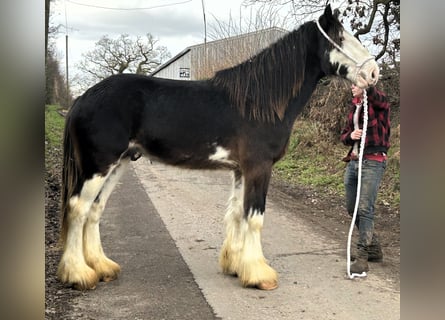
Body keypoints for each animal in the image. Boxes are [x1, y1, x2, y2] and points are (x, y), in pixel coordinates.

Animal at [58, 5, 378, 290]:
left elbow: (236, 214)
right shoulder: (259, 168)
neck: (258, 103)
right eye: (339, 39)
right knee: (77, 208)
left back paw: (102, 267)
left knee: (95, 209)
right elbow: (254, 218)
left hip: (119, 163)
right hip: (98, 166)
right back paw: (79, 274)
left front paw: (236, 266)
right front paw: (259, 275)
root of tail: (83, 98)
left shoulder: (240, 170)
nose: (374, 73)